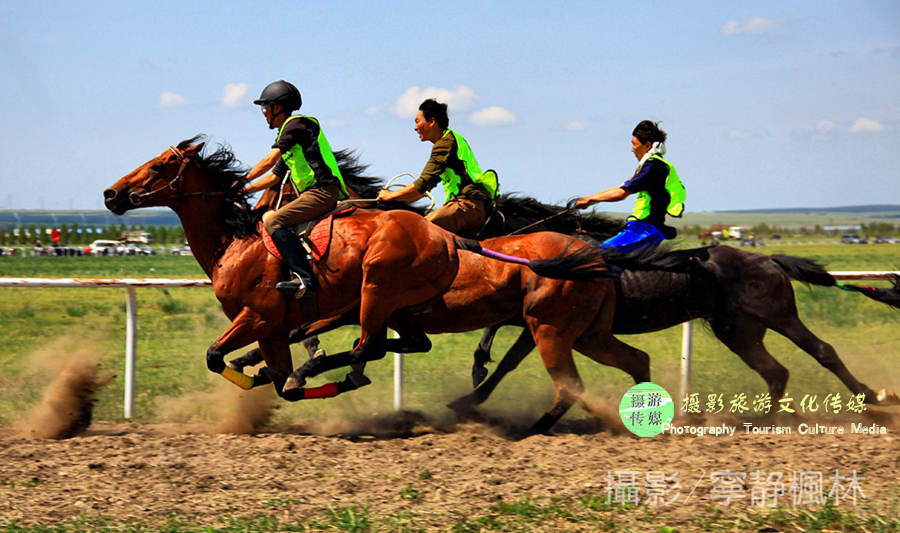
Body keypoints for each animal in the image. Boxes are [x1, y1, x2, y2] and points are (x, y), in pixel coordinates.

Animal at [105, 137, 708, 432]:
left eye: (157, 167)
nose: (111, 194)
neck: (242, 239)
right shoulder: (295, 319)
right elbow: (282, 361)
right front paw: (278, 375)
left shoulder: (273, 313)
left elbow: (232, 356)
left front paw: (288, 375)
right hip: (567, 328)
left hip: (516, 318)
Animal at [454, 193, 900, 410]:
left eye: (466, 215)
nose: (457, 247)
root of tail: (768, 258)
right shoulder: (537, 317)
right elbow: (496, 338)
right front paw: (476, 372)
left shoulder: (554, 320)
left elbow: (509, 356)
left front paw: (470, 395)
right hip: (738, 331)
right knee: (775, 372)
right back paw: (758, 421)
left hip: (778, 314)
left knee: (822, 351)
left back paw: (872, 397)